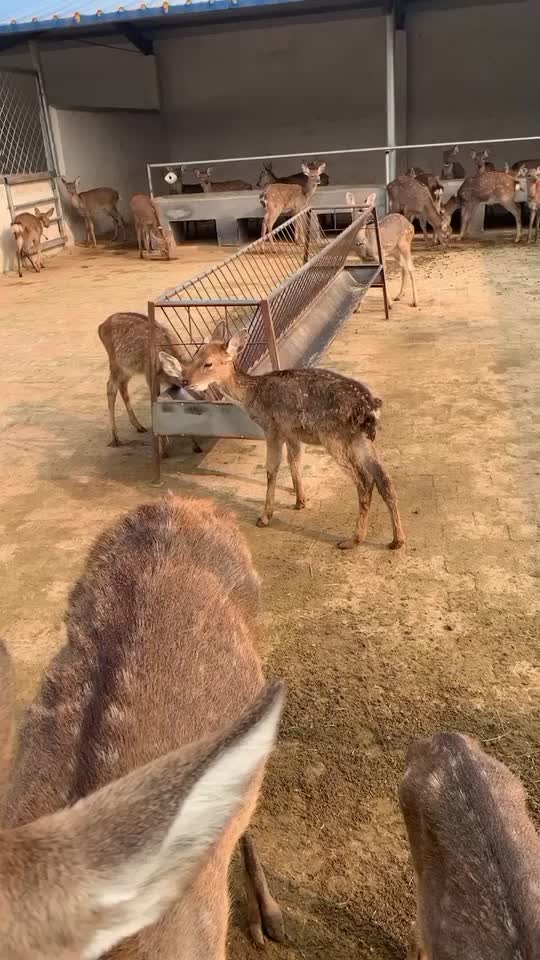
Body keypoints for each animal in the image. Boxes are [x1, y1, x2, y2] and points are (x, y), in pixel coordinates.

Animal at [98, 312, 202, 454]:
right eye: (187, 381)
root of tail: (100, 327)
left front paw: (195, 444)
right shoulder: (149, 374)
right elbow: (155, 399)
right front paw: (163, 446)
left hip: (129, 367)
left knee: (122, 385)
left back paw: (139, 426)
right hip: (116, 362)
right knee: (110, 387)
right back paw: (115, 438)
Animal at [160, 324, 404, 552]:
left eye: (208, 363)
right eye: (194, 356)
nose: (185, 381)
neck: (251, 397)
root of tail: (370, 408)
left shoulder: (272, 428)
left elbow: (272, 469)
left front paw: (265, 517)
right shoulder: (292, 433)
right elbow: (294, 462)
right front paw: (299, 502)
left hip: (334, 437)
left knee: (364, 481)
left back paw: (353, 540)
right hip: (361, 440)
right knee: (384, 479)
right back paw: (397, 540)